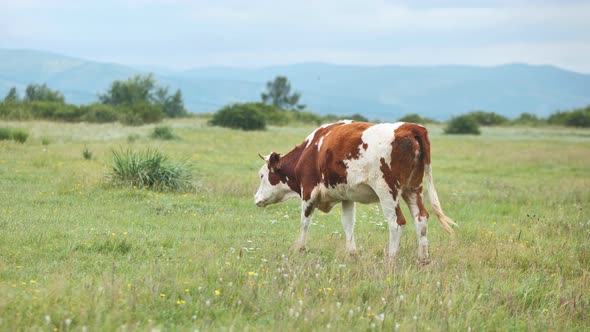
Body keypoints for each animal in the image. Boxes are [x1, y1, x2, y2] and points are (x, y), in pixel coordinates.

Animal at [254, 120, 458, 264]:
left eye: (262, 175)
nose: (256, 198)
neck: (310, 151)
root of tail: (411, 127)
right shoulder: (347, 197)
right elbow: (348, 224)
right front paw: (352, 254)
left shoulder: (308, 192)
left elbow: (305, 222)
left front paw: (300, 249)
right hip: (413, 189)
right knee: (421, 218)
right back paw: (423, 259)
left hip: (387, 190)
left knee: (396, 222)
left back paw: (391, 259)